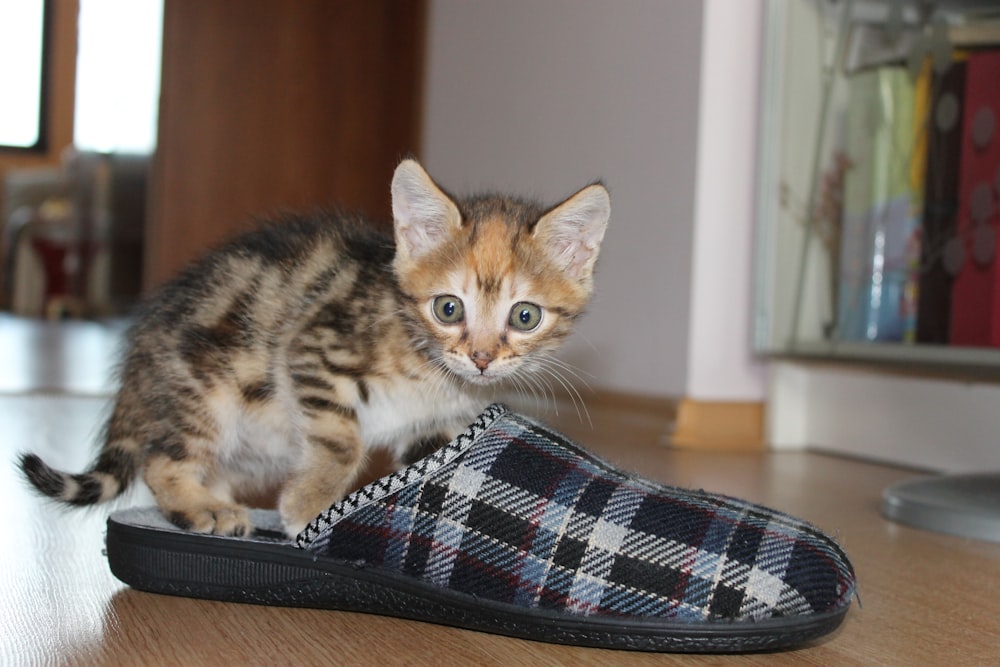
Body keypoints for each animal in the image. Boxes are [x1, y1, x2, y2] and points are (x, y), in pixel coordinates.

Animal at [17, 160, 608, 536]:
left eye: (525, 316)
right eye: (448, 309)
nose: (482, 358)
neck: (430, 369)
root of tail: (142, 346)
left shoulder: (436, 425)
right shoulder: (312, 348)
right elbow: (341, 440)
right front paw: (310, 503)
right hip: (204, 391)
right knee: (162, 461)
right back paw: (202, 508)